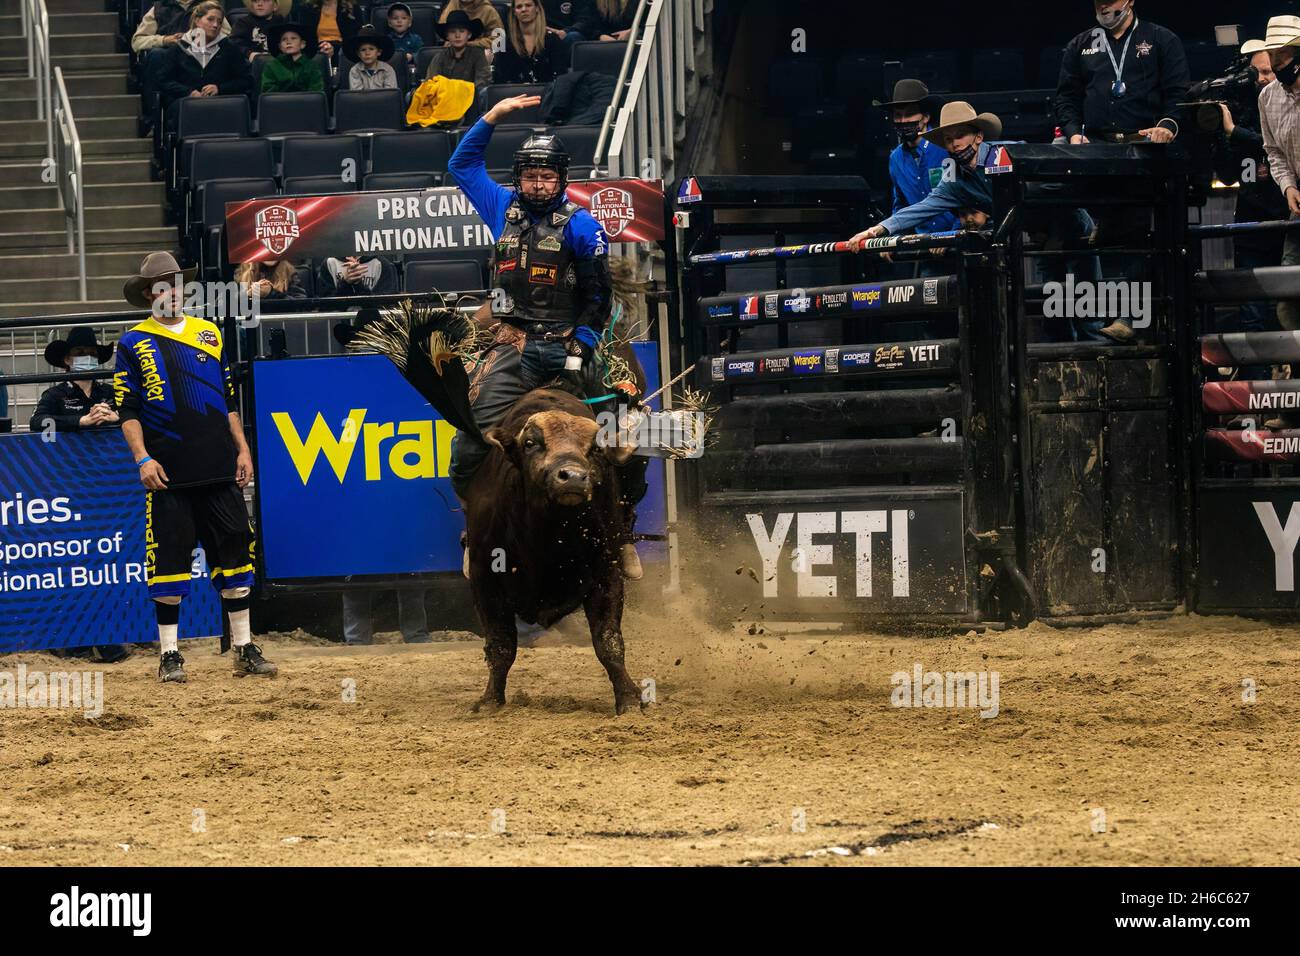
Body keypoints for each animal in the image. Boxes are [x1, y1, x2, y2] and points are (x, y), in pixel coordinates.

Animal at [351, 295, 650, 712]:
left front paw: (629, 697)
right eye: (531, 443)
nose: (573, 477)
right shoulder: (485, 578)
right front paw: (490, 700)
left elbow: (608, 641)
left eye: (594, 448)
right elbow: (501, 645)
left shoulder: (606, 573)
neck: (551, 535)